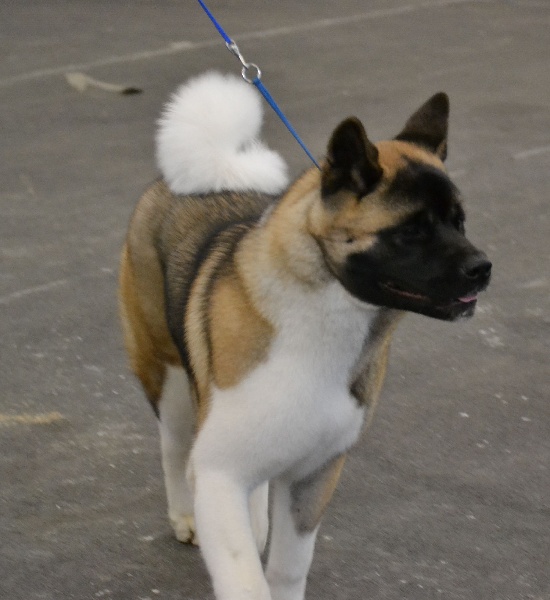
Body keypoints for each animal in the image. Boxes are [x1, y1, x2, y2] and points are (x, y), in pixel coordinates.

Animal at [119, 71, 491, 600]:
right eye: (411, 231)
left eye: (459, 221)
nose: (483, 268)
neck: (324, 314)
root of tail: (181, 181)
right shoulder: (218, 473)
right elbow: (245, 578)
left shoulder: (315, 475)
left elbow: (288, 569)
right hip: (167, 378)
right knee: (173, 445)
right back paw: (185, 515)